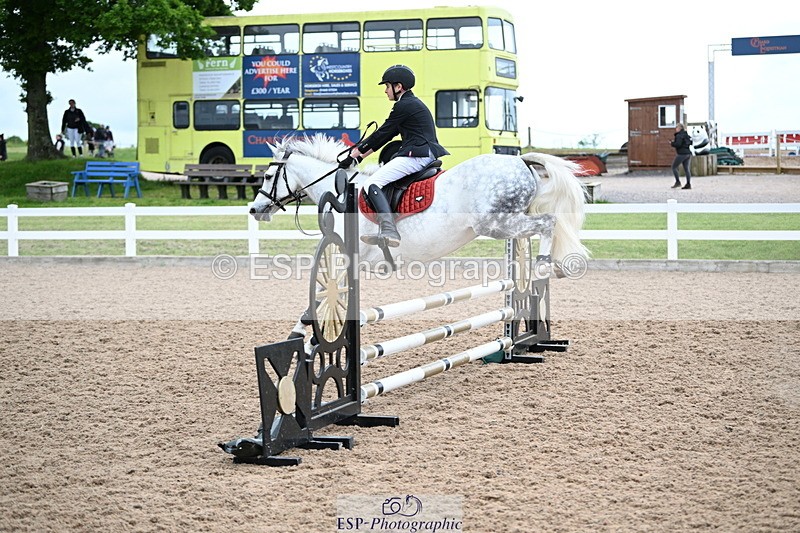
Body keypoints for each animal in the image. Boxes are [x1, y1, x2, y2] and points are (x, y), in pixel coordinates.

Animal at [250, 133, 589, 270]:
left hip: (497, 223)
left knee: (549, 222)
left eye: (266, 176)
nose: (254, 210)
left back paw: (544, 264)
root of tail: (520, 160)